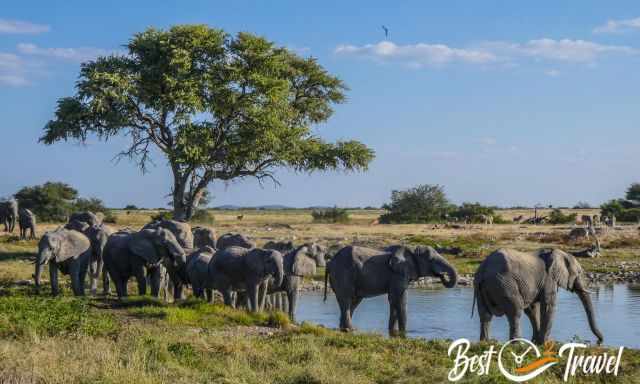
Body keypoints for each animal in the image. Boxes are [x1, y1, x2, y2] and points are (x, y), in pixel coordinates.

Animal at [328, 246, 458, 332]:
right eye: (431, 260)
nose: (442, 275)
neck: (411, 252)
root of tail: (331, 261)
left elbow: (393, 300)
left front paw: (393, 332)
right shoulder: (398, 275)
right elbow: (400, 300)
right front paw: (403, 333)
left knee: (353, 302)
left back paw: (343, 328)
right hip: (343, 273)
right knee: (347, 300)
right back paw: (351, 329)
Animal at [472, 249, 604, 344]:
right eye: (579, 273)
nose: (601, 340)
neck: (558, 253)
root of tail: (483, 269)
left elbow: (532, 310)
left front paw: (535, 341)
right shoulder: (549, 279)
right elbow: (548, 306)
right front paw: (545, 343)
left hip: (482, 288)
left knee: (485, 315)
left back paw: (485, 342)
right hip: (504, 284)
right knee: (515, 312)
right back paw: (517, 344)